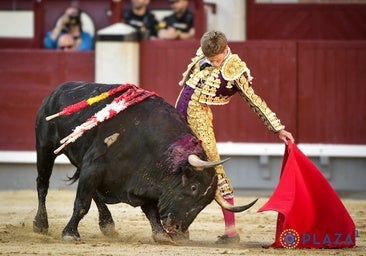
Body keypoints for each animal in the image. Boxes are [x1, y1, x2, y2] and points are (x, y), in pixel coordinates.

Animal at [33, 82, 258, 244]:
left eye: (206, 203)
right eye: (194, 187)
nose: (178, 229)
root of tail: (56, 91)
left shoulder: (144, 181)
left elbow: (151, 211)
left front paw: (162, 235)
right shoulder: (94, 165)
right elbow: (82, 203)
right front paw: (70, 234)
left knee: (93, 193)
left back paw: (108, 225)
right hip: (45, 148)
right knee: (42, 184)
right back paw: (40, 224)